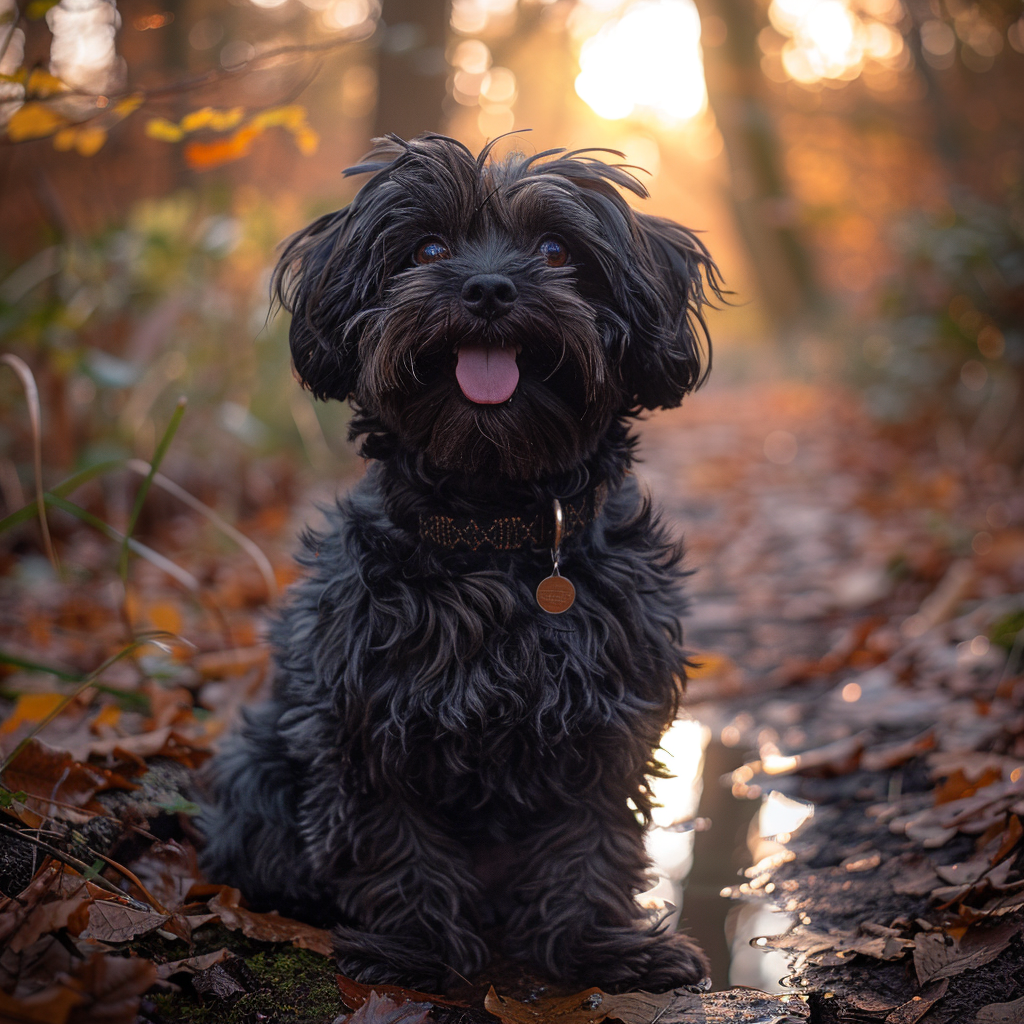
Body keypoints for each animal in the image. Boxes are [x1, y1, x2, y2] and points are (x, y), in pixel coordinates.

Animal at [197, 134, 720, 991]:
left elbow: (591, 842)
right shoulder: (363, 717)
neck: (495, 531)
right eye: (428, 249)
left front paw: (596, 949)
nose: (487, 288)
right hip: (255, 767)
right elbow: (393, 843)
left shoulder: (610, 714)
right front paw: (418, 950)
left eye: (556, 250)